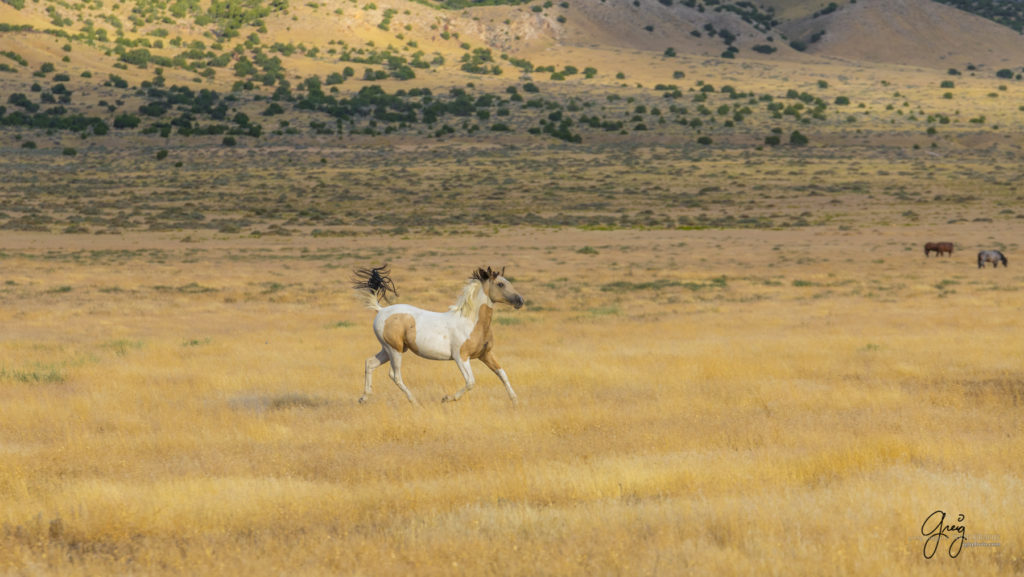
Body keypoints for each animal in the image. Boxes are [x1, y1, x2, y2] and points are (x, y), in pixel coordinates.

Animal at [354, 266, 528, 405]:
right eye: (500, 284)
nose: (520, 301)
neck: (470, 322)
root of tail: (381, 310)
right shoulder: (461, 357)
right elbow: (470, 382)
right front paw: (446, 398)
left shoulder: (485, 354)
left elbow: (502, 374)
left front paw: (515, 401)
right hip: (394, 350)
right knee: (395, 375)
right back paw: (414, 401)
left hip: (389, 349)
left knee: (370, 363)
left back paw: (364, 398)